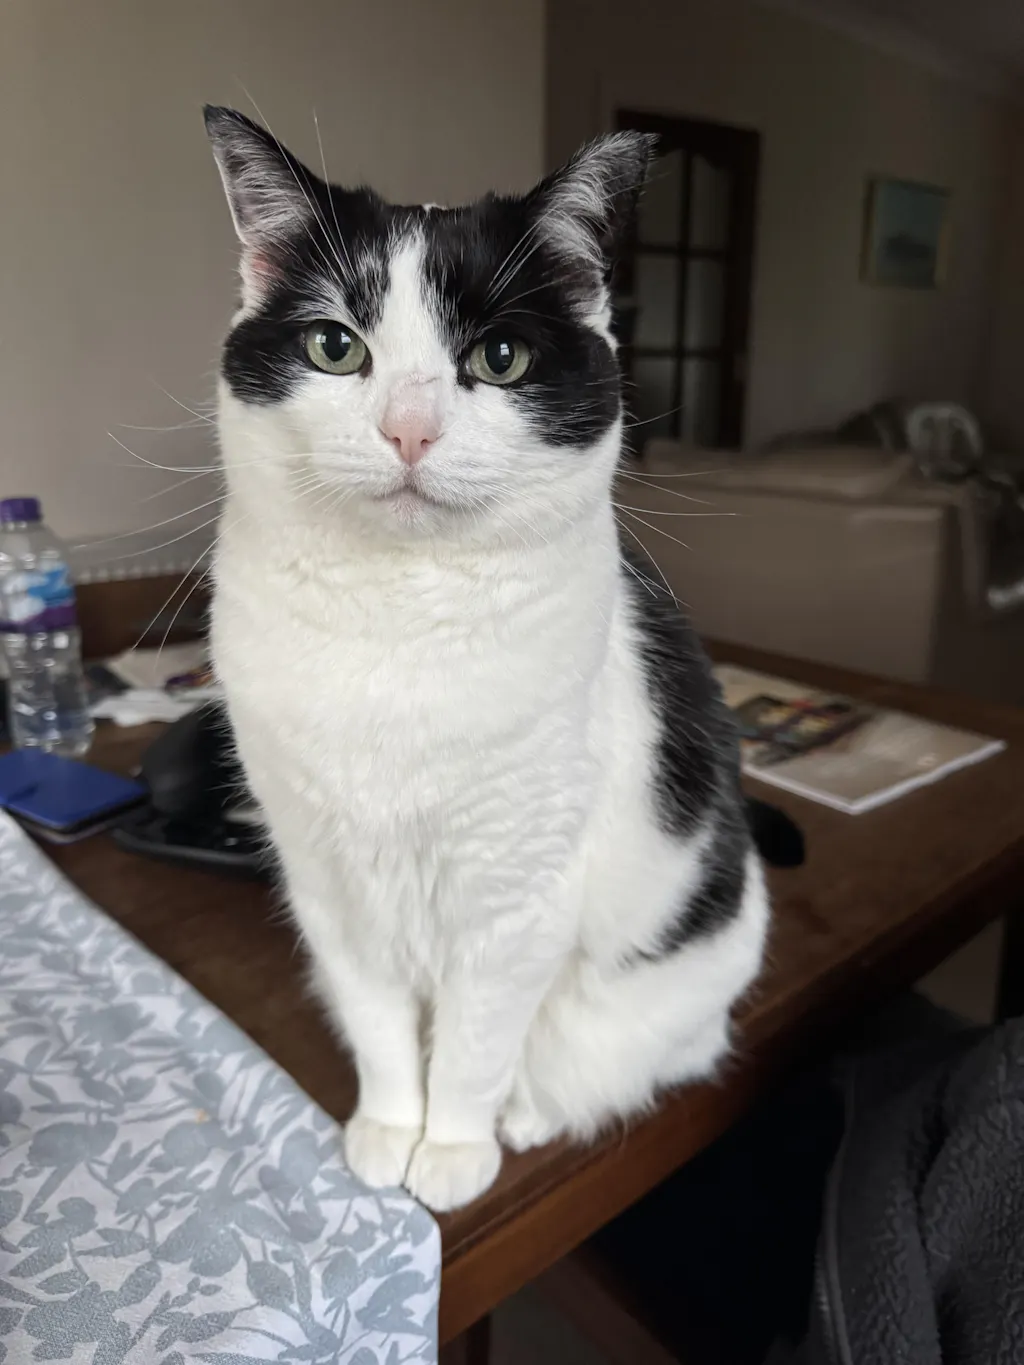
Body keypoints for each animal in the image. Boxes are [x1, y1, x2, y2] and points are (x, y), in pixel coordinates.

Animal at [204, 107, 770, 1212]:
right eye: (335, 347)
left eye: (501, 357)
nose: (409, 429)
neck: (395, 621)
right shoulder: (328, 883)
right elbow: (379, 1022)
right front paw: (389, 1128)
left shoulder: (516, 902)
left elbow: (471, 1042)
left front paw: (454, 1149)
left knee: (634, 1054)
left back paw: (530, 1110)